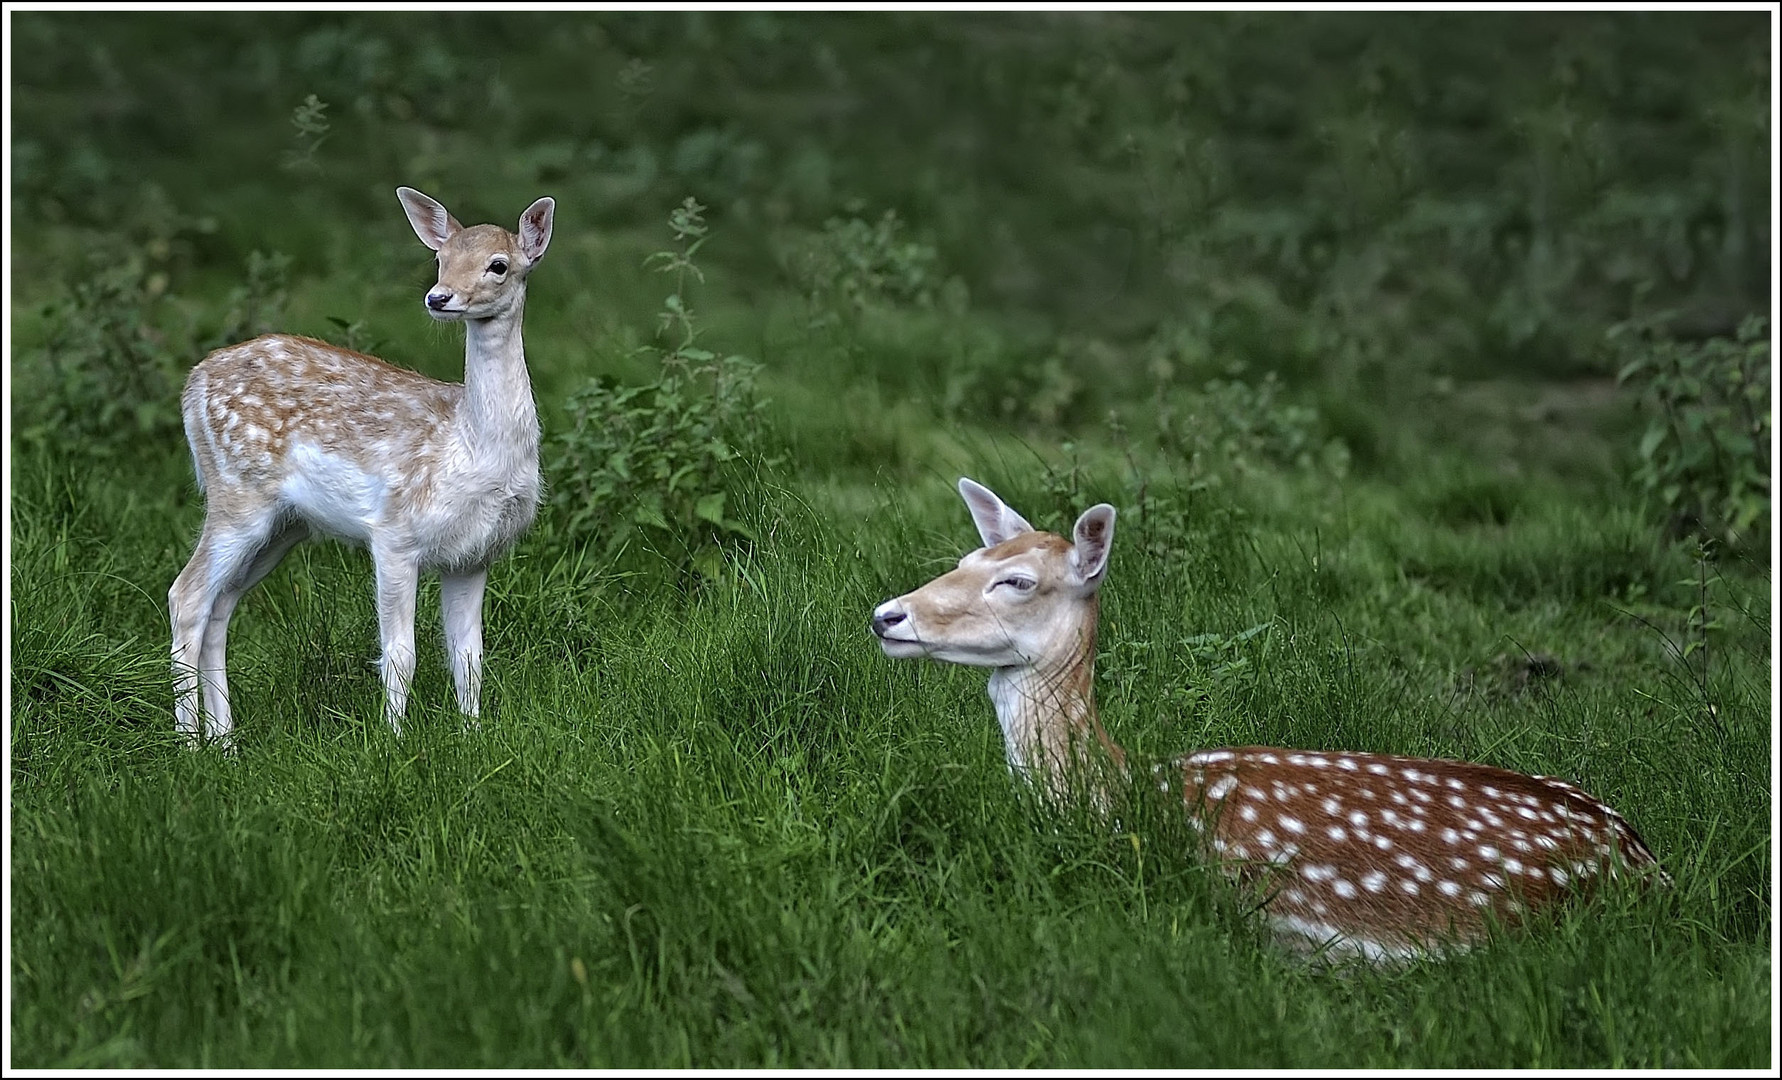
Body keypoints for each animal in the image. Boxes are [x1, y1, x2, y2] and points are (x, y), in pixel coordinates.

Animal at [174, 188, 552, 744]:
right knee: (188, 597)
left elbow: (469, 657)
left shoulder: (473, 555)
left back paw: (225, 742)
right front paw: (393, 742)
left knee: (220, 607)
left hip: (284, 525)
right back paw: (188, 743)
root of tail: (192, 383)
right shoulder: (395, 532)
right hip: (236, 491)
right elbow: (401, 655)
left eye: (498, 265)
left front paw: (471, 735)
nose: (439, 298)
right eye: (439, 259)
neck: (469, 447)